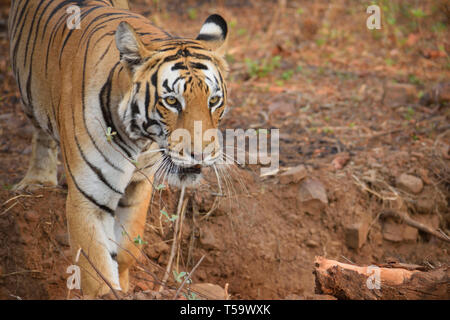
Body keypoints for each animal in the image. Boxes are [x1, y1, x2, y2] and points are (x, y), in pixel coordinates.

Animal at [8, 0, 229, 298]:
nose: (201, 154)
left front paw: (124, 284)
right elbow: (97, 269)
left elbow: (127, 250)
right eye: (172, 101)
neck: (139, 139)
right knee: (41, 134)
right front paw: (110, 287)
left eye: (213, 100)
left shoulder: (139, 188)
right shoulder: (87, 201)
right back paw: (37, 180)